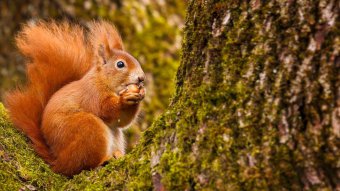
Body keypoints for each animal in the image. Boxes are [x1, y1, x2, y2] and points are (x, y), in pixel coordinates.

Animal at [4, 20, 145, 176]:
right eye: (120, 64)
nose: (141, 78)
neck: (103, 80)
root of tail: (58, 161)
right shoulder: (92, 94)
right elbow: (105, 108)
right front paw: (124, 100)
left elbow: (122, 121)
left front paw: (141, 93)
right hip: (88, 129)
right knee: (82, 166)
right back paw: (103, 160)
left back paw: (117, 154)